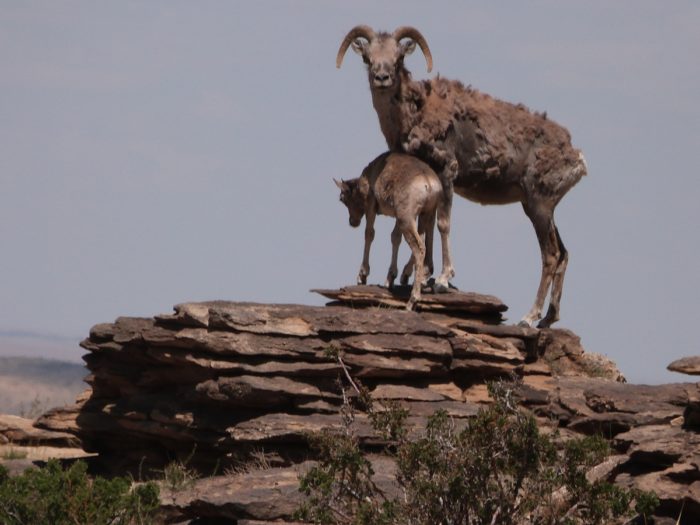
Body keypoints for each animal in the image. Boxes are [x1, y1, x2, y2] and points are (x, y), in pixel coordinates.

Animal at [336, 150, 446, 312]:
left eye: (342, 199)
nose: (352, 222)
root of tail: (429, 183)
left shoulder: (371, 206)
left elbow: (369, 233)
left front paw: (362, 276)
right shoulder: (397, 217)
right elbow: (395, 237)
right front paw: (390, 278)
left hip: (407, 219)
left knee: (419, 247)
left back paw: (412, 301)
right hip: (426, 215)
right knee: (426, 242)